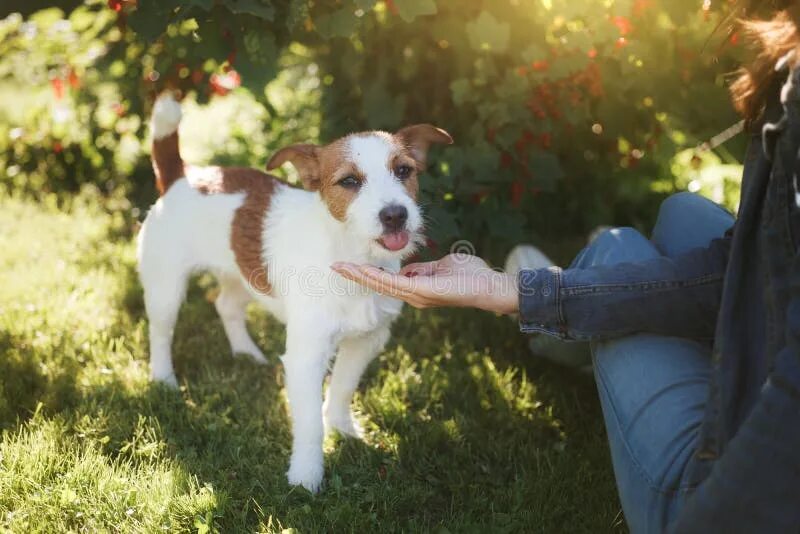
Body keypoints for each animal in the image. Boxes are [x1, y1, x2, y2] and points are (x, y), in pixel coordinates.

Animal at [137, 93, 450, 494]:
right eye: (349, 181)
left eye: (404, 171)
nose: (395, 215)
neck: (349, 255)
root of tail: (184, 175)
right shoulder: (306, 357)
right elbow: (310, 424)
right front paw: (306, 477)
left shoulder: (365, 341)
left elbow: (343, 388)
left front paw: (344, 430)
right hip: (166, 285)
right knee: (161, 331)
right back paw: (164, 379)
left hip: (245, 274)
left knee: (226, 305)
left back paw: (246, 352)